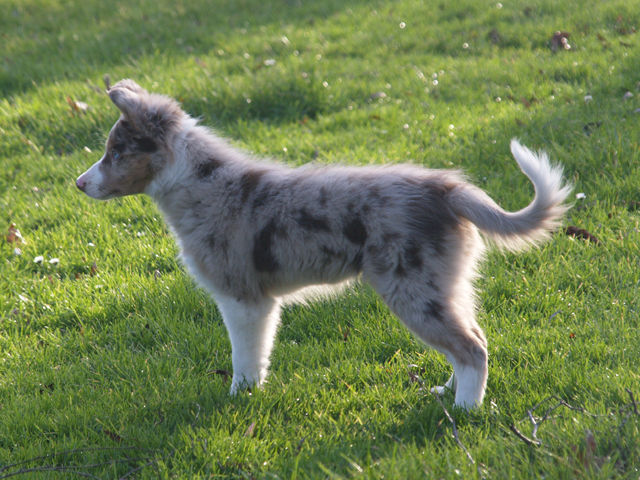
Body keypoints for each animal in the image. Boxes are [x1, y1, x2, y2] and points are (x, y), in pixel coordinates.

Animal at [76, 79, 571, 409]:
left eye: (116, 153)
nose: (78, 184)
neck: (196, 180)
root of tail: (447, 189)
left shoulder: (243, 298)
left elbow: (246, 356)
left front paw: (240, 397)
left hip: (411, 287)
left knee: (472, 347)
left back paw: (464, 409)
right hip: (446, 283)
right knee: (471, 337)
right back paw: (447, 392)